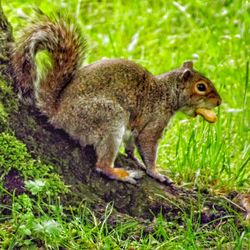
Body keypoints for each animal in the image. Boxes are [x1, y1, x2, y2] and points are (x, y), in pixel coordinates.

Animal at [10, 14, 221, 185]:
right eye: (201, 87)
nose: (219, 102)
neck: (167, 93)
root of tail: (58, 113)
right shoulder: (154, 124)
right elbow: (148, 147)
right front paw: (156, 173)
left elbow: (131, 147)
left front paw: (135, 159)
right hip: (109, 118)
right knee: (102, 165)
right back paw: (121, 174)